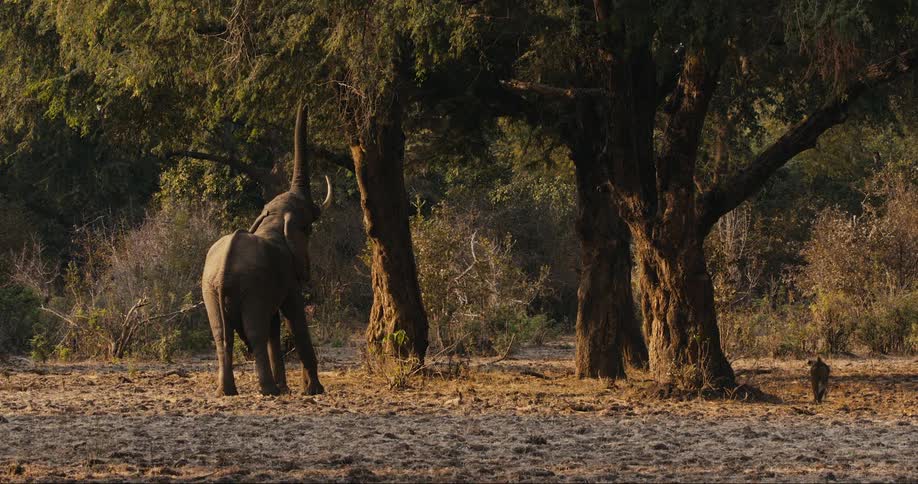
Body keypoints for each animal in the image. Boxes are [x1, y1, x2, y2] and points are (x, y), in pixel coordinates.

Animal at [202, 104, 331, 396]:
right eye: (308, 227)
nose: (303, 102)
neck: (274, 220)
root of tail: (223, 271)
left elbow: (275, 324)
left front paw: (288, 388)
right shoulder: (287, 275)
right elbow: (294, 318)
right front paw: (315, 390)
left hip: (211, 290)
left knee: (221, 335)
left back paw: (227, 391)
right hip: (250, 286)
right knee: (255, 332)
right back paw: (268, 390)